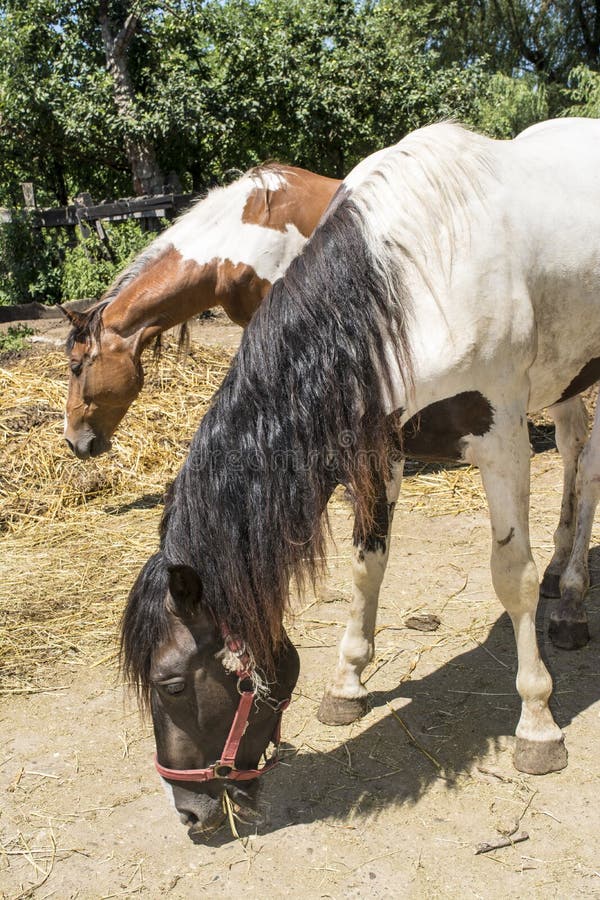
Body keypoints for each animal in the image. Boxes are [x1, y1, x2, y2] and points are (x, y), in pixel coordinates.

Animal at [121, 118, 600, 837]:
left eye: (171, 683)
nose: (191, 811)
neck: (410, 285)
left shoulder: (502, 441)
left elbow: (508, 576)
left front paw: (537, 725)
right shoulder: (382, 449)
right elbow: (366, 563)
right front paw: (348, 683)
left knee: (585, 465)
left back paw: (570, 599)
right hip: (564, 379)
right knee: (573, 449)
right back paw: (561, 577)